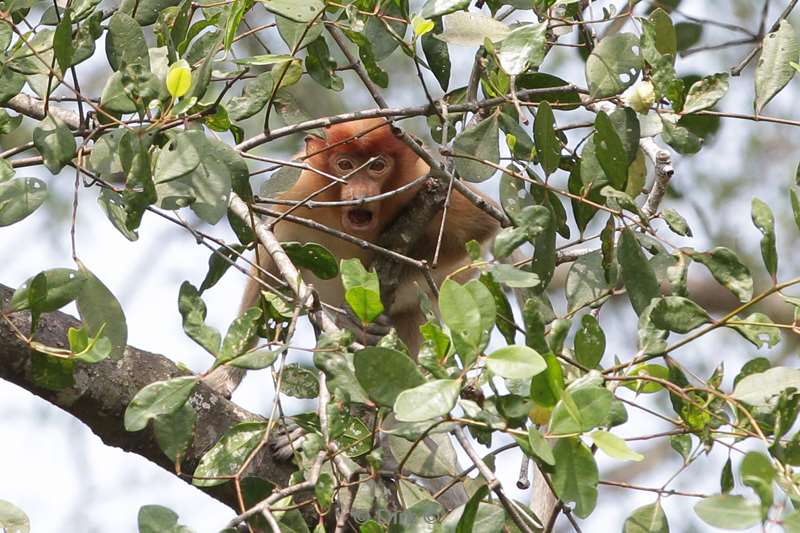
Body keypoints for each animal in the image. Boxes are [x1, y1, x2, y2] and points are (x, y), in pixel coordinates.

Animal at [206, 118, 500, 392]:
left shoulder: (423, 180)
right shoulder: (298, 188)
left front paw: (361, 317)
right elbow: (269, 263)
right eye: (345, 165)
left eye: (377, 166)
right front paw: (224, 377)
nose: (360, 193)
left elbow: (482, 224)